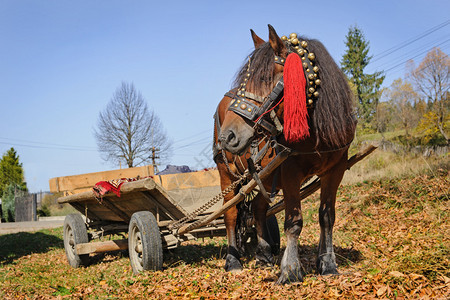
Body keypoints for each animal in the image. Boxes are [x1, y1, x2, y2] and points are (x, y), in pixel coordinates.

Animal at [213, 25, 356, 284]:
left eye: (263, 78)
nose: (228, 136)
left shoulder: (335, 169)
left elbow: (327, 216)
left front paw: (327, 264)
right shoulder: (290, 172)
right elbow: (294, 222)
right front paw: (290, 270)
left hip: (265, 177)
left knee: (258, 208)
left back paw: (264, 254)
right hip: (226, 174)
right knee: (230, 213)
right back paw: (233, 261)